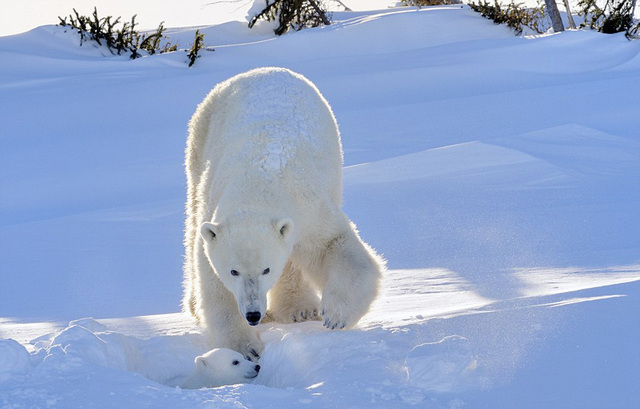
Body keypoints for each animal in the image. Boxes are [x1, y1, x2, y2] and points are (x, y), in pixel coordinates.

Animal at [182, 67, 384, 360]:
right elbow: (215, 285)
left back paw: (300, 310)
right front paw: (244, 349)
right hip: (201, 137)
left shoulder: (308, 207)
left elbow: (334, 244)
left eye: (266, 269)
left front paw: (335, 315)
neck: (257, 183)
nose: (254, 314)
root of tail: (261, 70)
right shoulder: (215, 217)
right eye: (234, 271)